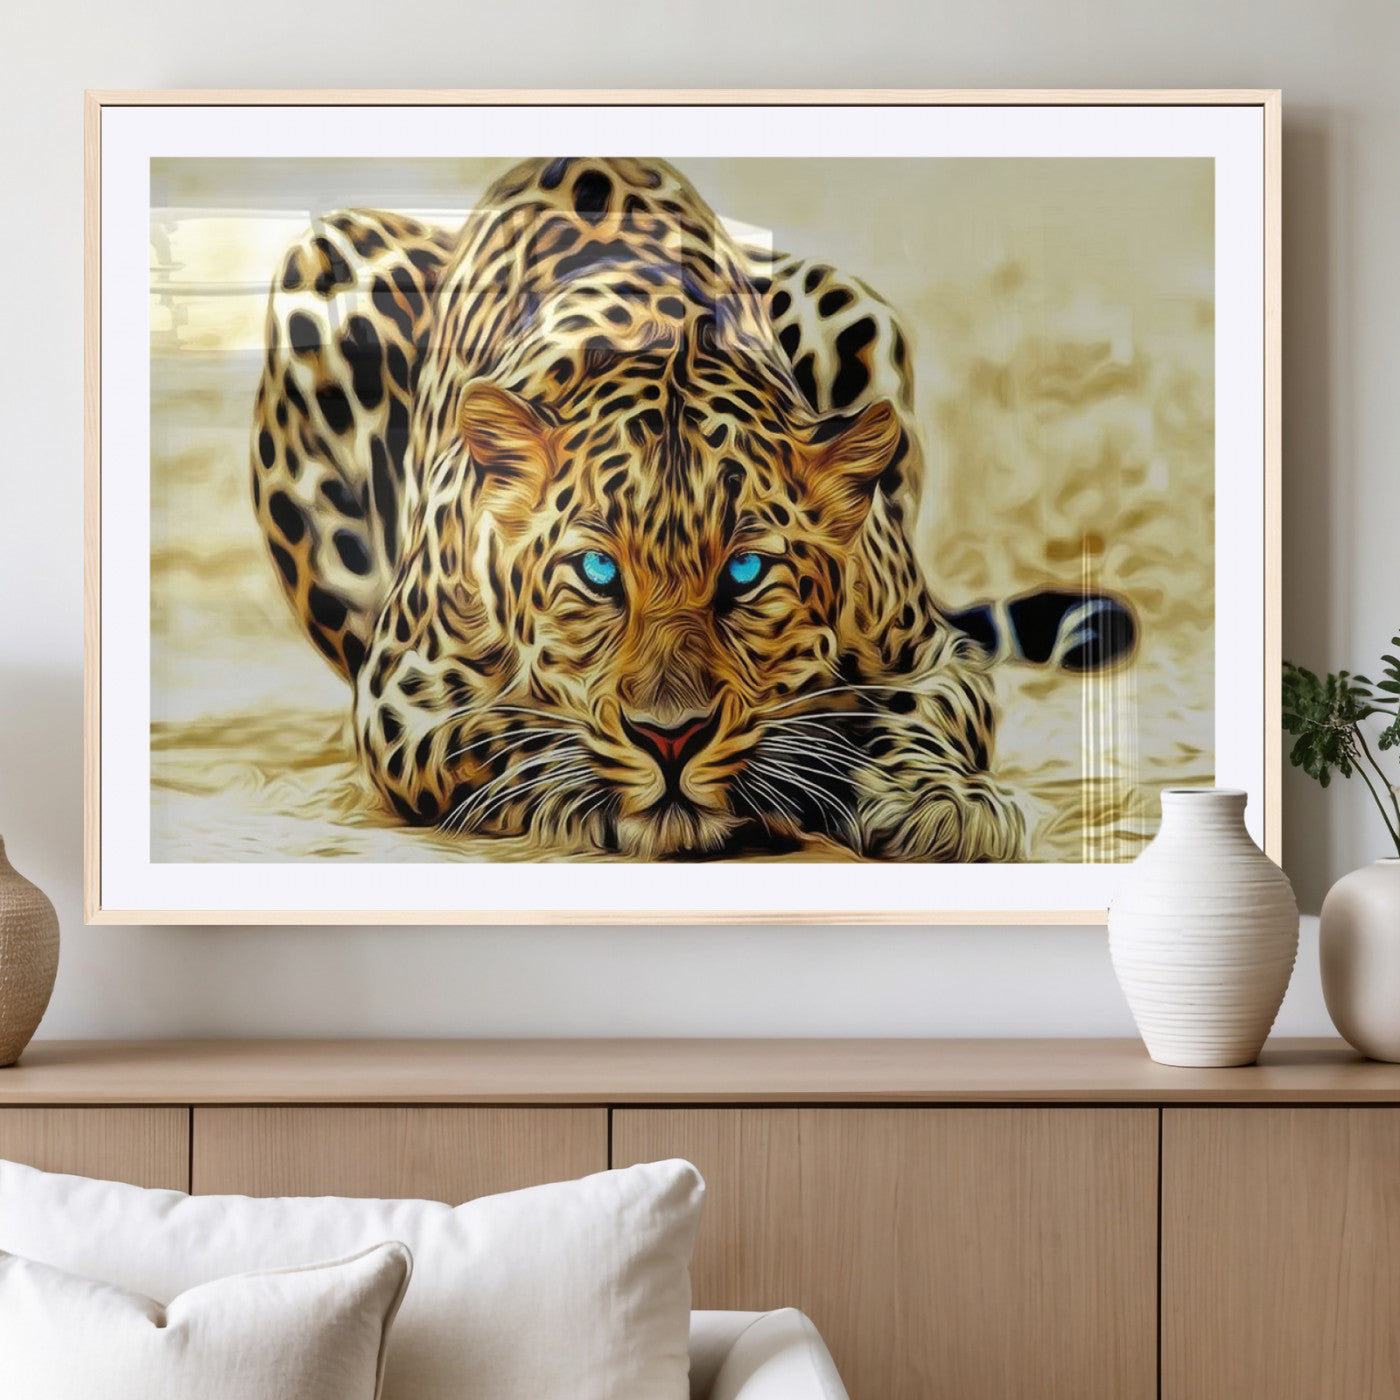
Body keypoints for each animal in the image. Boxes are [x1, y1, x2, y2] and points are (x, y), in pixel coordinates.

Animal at [249, 156, 1113, 862]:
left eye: (747, 571)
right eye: (598, 572)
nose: (672, 739)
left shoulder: (933, 654)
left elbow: (909, 712)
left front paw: (942, 800)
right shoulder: (404, 696)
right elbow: (505, 732)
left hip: (845, 300)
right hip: (327, 268)